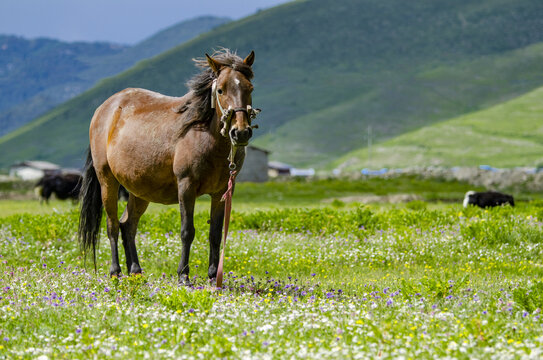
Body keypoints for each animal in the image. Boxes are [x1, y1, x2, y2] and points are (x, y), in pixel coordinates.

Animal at [78, 49, 260, 284]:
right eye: (220, 90)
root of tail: (103, 110)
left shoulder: (222, 191)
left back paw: (135, 271)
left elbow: (216, 233)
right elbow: (187, 231)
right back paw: (116, 272)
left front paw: (213, 277)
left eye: (250, 88)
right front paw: (183, 275)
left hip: (139, 191)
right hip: (107, 181)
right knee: (112, 226)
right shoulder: (186, 186)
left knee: (128, 225)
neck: (204, 136)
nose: (241, 132)